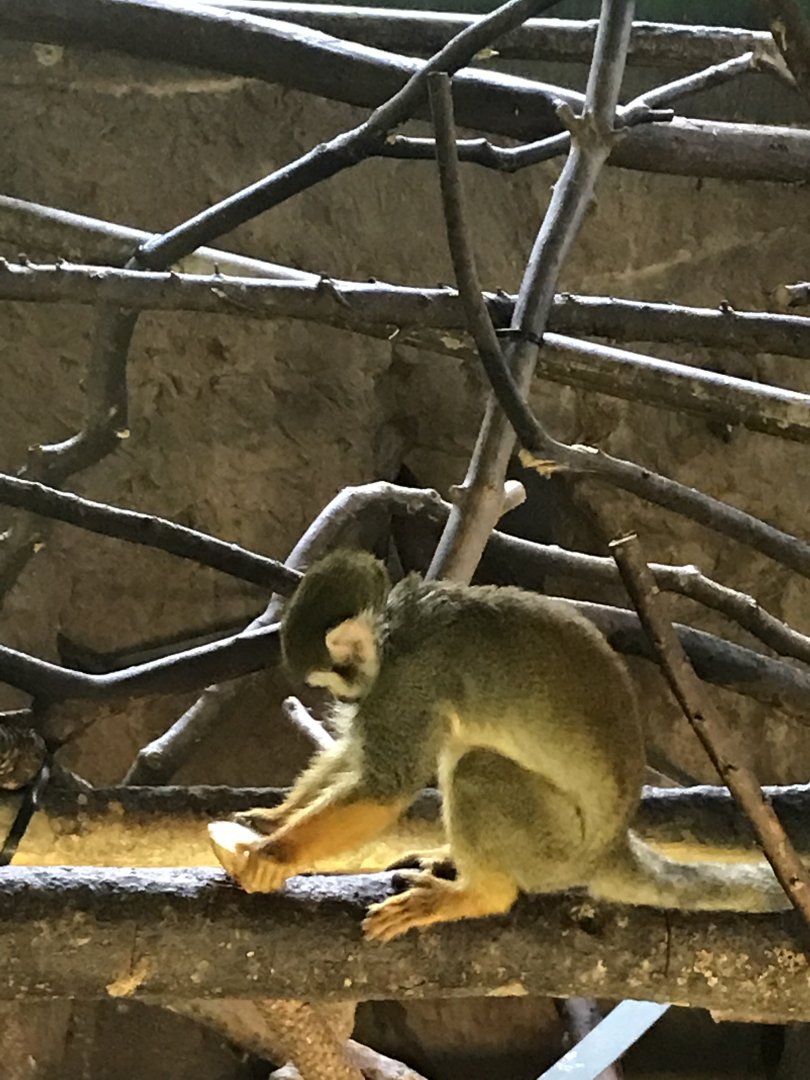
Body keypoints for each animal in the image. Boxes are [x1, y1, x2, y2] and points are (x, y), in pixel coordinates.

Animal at [208, 549, 789, 942]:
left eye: (330, 680)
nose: (344, 696)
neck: (394, 632)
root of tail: (609, 847)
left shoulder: (411, 680)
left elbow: (386, 784)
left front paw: (273, 853)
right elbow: (356, 754)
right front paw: (273, 818)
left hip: (554, 849)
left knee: (476, 767)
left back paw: (480, 893)